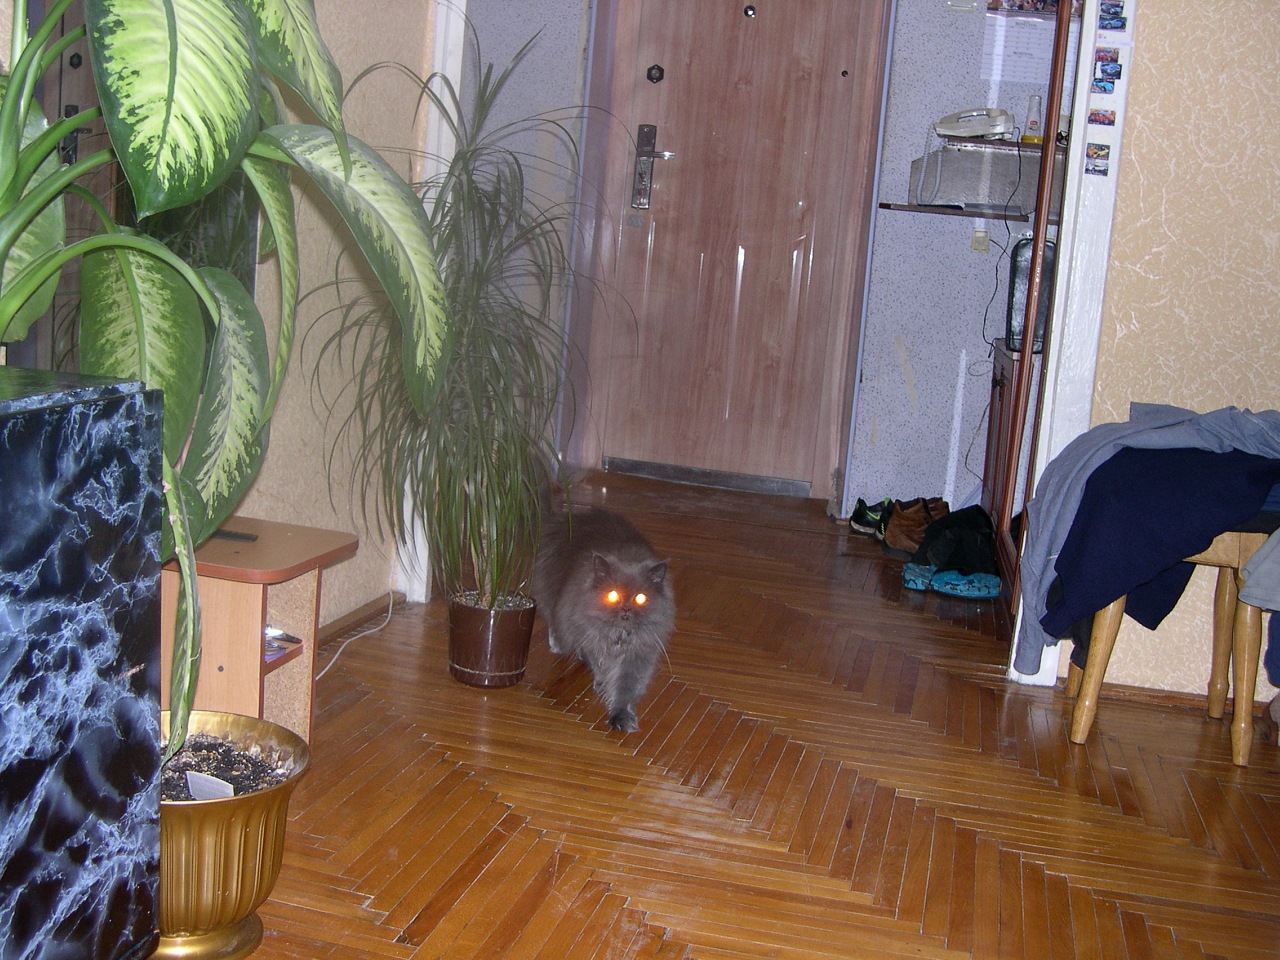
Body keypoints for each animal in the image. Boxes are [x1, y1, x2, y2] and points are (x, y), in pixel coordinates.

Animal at [533, 506, 675, 732]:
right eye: (613, 595)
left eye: (640, 598)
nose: (625, 608)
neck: (620, 635)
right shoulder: (592, 633)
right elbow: (598, 662)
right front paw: (601, 681)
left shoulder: (639, 654)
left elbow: (626, 687)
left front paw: (622, 717)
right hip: (552, 596)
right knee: (555, 622)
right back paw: (559, 646)